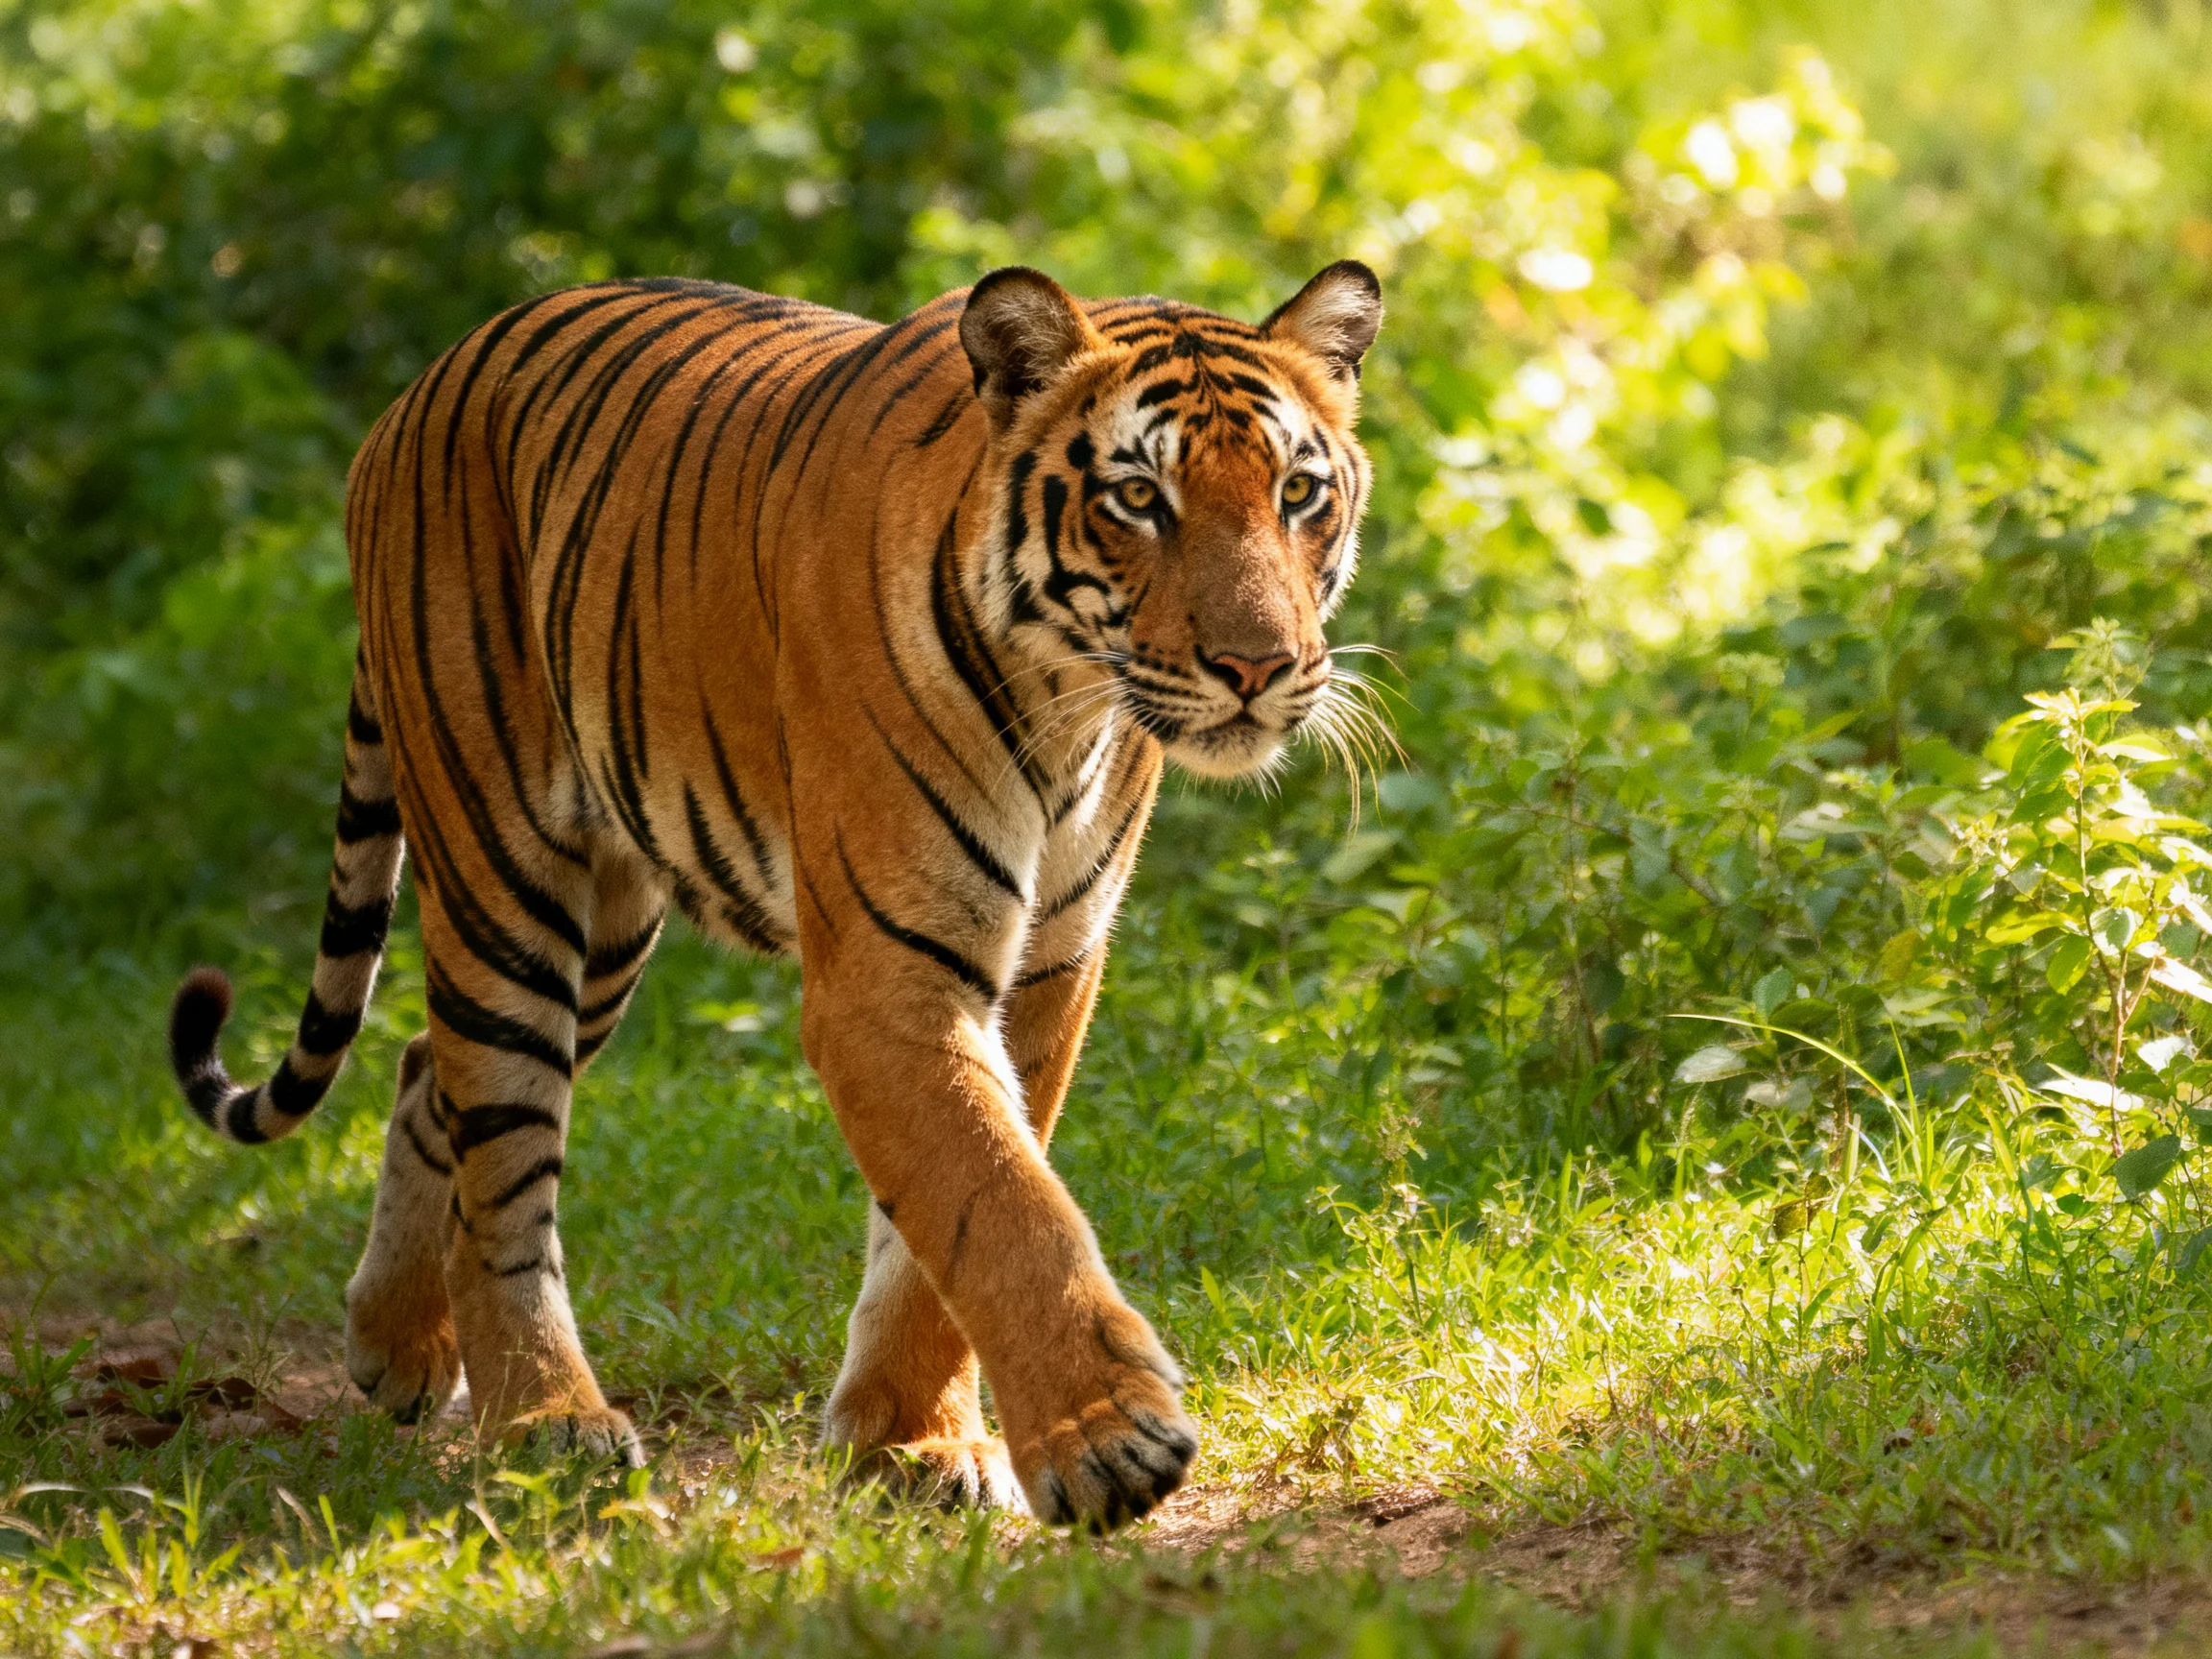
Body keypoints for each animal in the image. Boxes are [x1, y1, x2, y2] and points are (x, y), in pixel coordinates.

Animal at [166, 259, 1383, 1529]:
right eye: (1139, 498)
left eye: (1298, 492)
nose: (1257, 668)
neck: (1068, 711)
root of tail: (416, 392)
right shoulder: (890, 976)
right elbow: (1000, 1200)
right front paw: (1106, 1442)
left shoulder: (1047, 967)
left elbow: (950, 1211)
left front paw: (911, 1443)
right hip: (506, 878)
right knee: (500, 1161)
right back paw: (545, 1423)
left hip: (609, 926)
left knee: (422, 1067)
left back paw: (395, 1344)